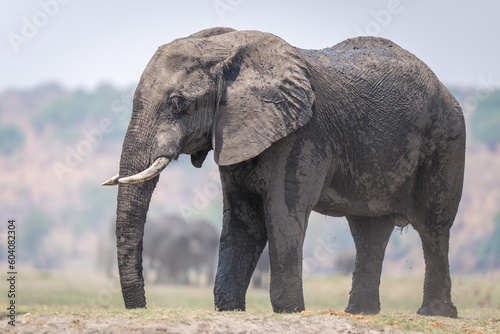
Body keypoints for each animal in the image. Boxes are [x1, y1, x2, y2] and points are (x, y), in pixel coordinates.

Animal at [103, 27, 466, 318]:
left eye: (179, 103)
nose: (142, 307)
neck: (227, 50)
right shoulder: (235, 133)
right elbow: (244, 219)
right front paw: (230, 310)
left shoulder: (303, 132)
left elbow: (281, 211)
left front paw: (290, 311)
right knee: (369, 230)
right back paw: (360, 313)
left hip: (445, 139)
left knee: (433, 226)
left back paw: (435, 314)